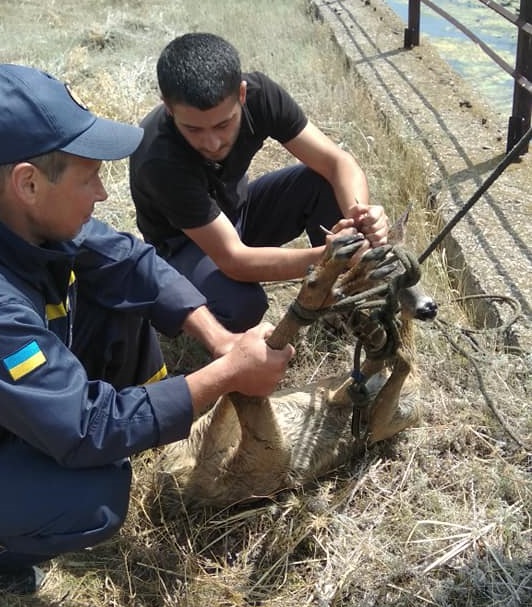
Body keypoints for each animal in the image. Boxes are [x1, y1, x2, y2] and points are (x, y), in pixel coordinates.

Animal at [155, 211, 436, 510]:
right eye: (388, 284)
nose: (429, 308)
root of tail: (178, 481)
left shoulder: (368, 414)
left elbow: (385, 365)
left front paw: (373, 333)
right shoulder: (378, 422)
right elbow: (400, 360)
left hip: (249, 451)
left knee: (243, 390)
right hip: (264, 456)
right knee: (249, 382)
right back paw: (330, 277)